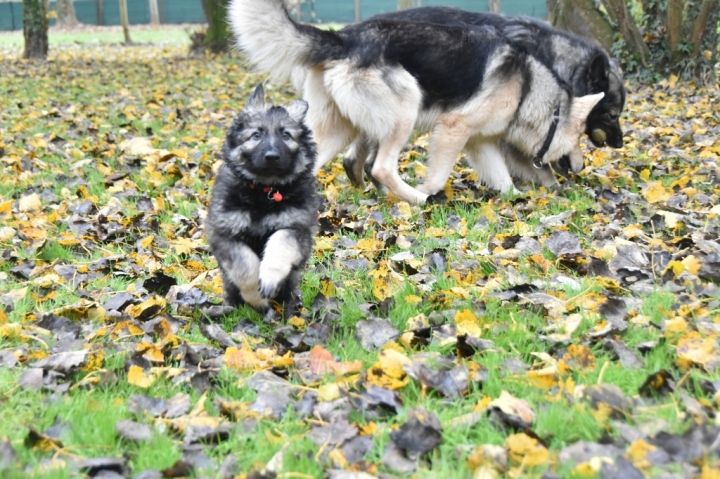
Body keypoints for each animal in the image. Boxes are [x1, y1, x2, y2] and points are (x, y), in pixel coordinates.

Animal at [205, 84, 320, 315]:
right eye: (256, 134)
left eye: (286, 135)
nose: (272, 156)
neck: (263, 190)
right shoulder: (223, 234)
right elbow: (244, 265)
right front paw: (256, 297)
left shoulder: (296, 228)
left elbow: (280, 242)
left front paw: (269, 277)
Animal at [229, 0, 604, 204]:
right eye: (582, 138)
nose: (580, 169)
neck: (530, 89)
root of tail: (345, 38)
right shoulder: (453, 130)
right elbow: (438, 176)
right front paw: (429, 190)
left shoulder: (480, 144)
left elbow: (506, 183)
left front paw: (515, 197)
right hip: (405, 111)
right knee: (381, 167)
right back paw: (415, 198)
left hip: (337, 132)